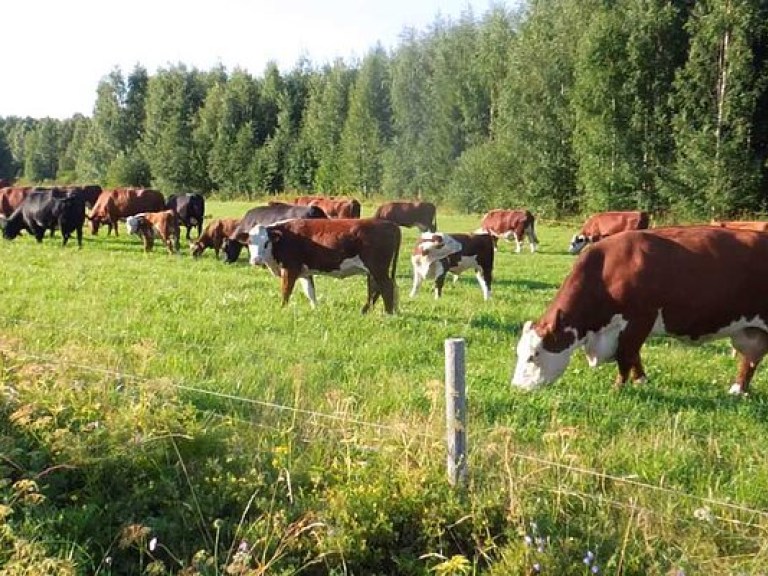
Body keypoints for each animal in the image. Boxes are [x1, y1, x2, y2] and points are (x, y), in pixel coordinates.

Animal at [246, 217, 402, 316]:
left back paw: (388, 314)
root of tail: (391, 224)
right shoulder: (305, 272)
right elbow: (310, 292)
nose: (256, 260)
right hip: (374, 271)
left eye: (266, 243)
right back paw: (368, 311)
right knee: (378, 288)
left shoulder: (290, 268)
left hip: (378, 268)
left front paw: (282, 309)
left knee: (386, 287)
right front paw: (315, 310)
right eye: (249, 242)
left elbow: (286, 291)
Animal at [510, 226, 768, 396]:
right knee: (751, 358)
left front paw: (617, 388)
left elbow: (626, 355)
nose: (516, 387)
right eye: (518, 353)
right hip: (750, 330)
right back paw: (737, 390)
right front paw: (640, 381)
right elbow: (634, 356)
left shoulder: (639, 320)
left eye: (533, 356)